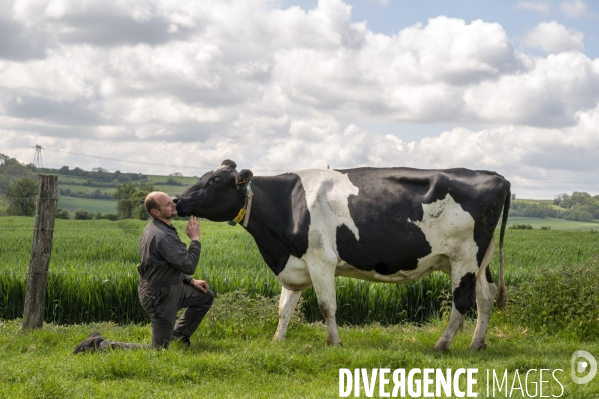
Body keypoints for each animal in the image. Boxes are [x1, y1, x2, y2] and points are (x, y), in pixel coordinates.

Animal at [175, 159, 510, 350]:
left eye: (216, 180)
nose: (177, 200)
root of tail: (496, 176)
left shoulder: (321, 260)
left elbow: (327, 307)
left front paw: (334, 343)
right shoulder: (294, 261)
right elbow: (284, 308)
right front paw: (277, 341)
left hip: (464, 256)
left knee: (462, 301)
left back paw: (442, 344)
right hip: (479, 260)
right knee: (485, 297)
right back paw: (476, 344)